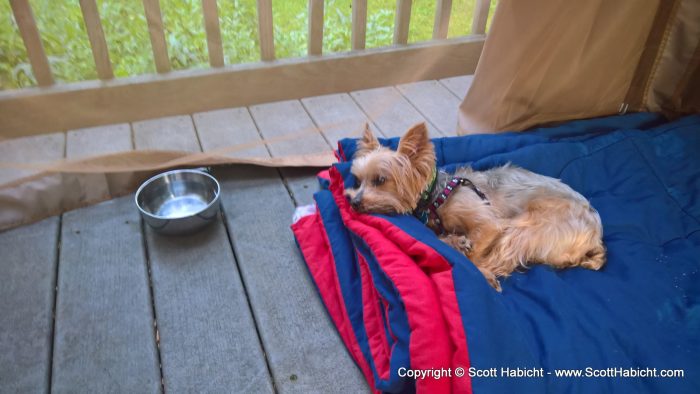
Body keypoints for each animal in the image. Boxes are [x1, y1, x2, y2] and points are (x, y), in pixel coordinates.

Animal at [348, 121, 604, 290]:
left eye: (380, 180)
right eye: (358, 181)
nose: (354, 202)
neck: (435, 195)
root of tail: (595, 237)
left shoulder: (490, 224)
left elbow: (473, 256)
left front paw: (465, 251)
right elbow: (446, 238)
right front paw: (457, 241)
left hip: (528, 228)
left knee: (497, 261)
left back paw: (487, 275)